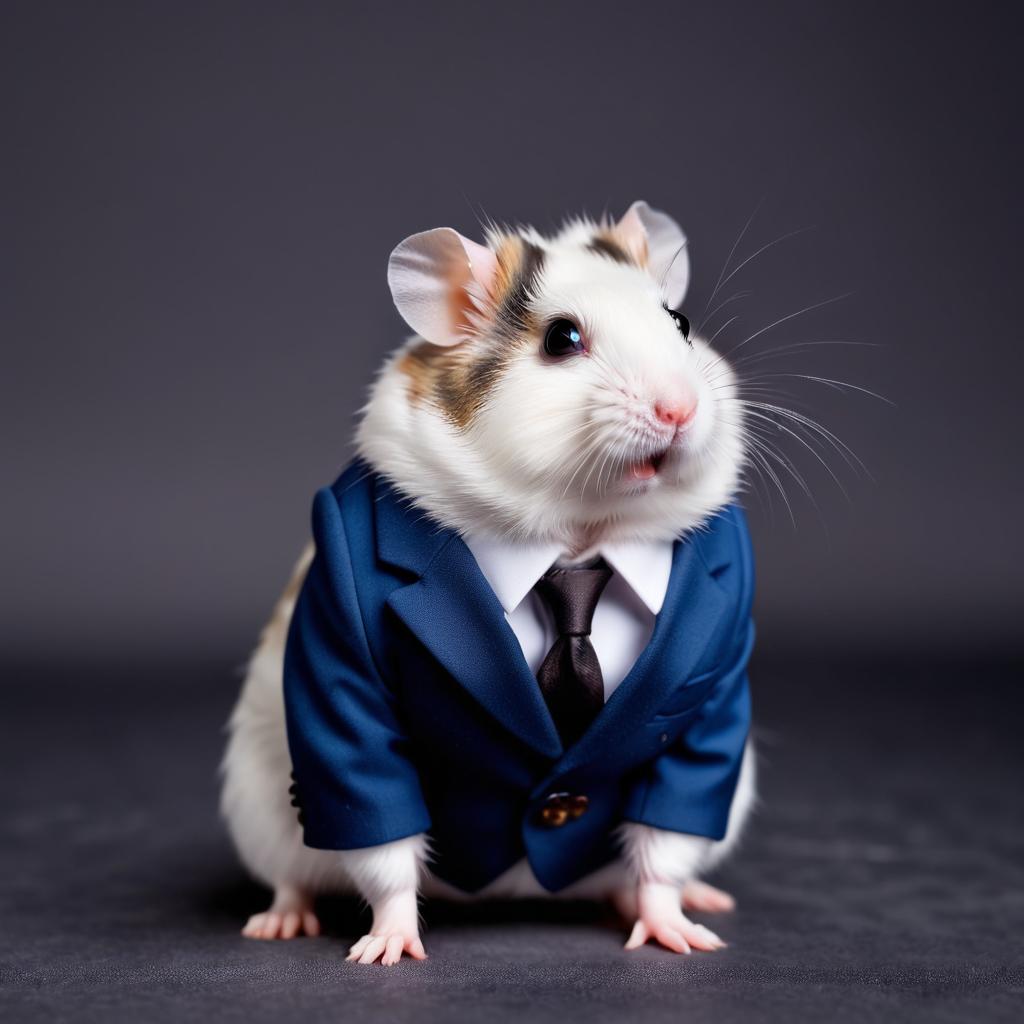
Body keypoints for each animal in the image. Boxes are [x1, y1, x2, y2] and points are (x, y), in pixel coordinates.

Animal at [220, 199, 757, 958]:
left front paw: (677, 931)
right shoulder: (343, 669)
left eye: (679, 323)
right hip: (262, 804)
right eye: (562, 338)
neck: (578, 535)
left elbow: (671, 820)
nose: (680, 410)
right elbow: (376, 810)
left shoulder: (715, 684)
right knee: (295, 873)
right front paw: (387, 945)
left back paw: (687, 898)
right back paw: (282, 920)